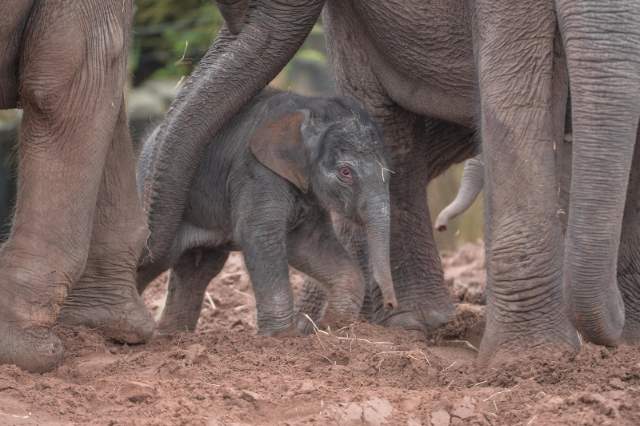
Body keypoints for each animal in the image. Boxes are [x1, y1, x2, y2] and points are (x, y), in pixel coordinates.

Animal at [138, 89, 398, 336]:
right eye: (345, 172)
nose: (391, 304)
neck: (306, 107)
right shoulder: (255, 171)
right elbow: (260, 234)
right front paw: (282, 337)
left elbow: (309, 242)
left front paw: (332, 327)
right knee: (155, 260)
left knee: (197, 269)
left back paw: (171, 336)